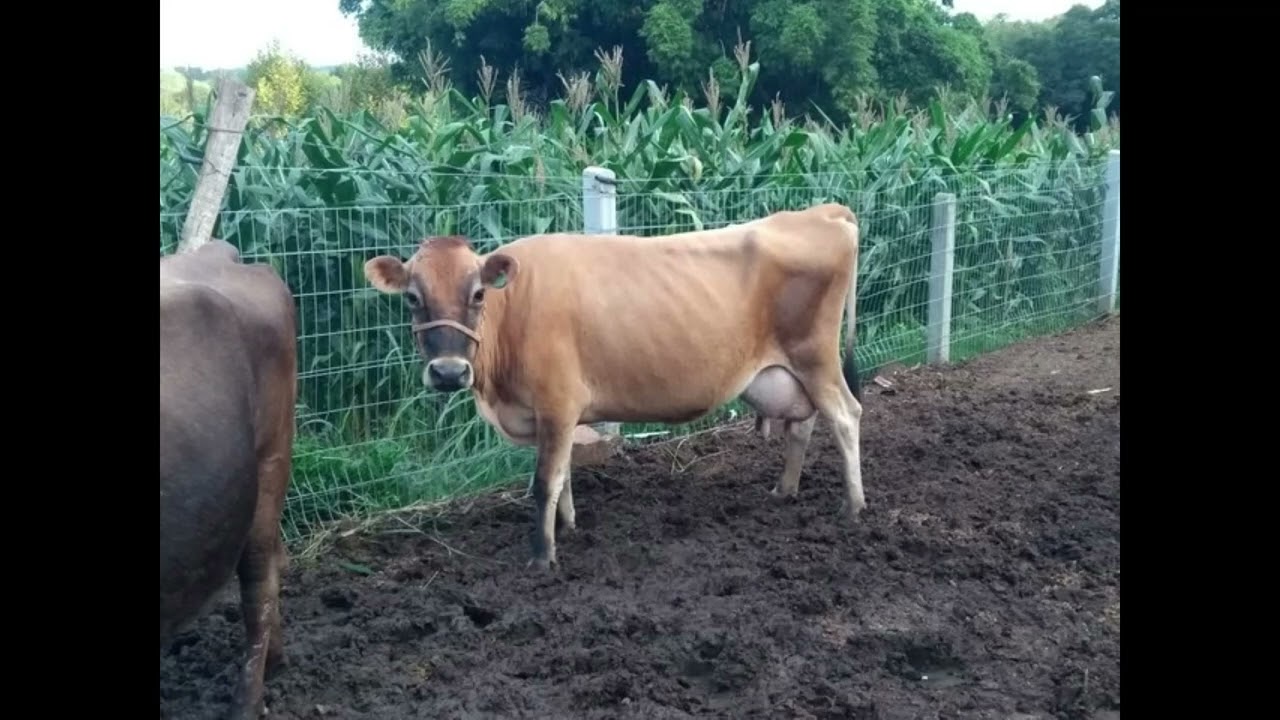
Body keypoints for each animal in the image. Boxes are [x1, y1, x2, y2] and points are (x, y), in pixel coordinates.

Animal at [362, 202, 865, 572]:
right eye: (412, 297)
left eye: (478, 294)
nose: (448, 373)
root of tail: (822, 211)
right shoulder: (554, 415)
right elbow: (563, 474)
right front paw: (567, 526)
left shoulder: (557, 404)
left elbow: (544, 481)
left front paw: (542, 557)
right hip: (792, 372)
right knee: (804, 422)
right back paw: (785, 489)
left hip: (816, 357)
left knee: (846, 416)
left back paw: (854, 506)